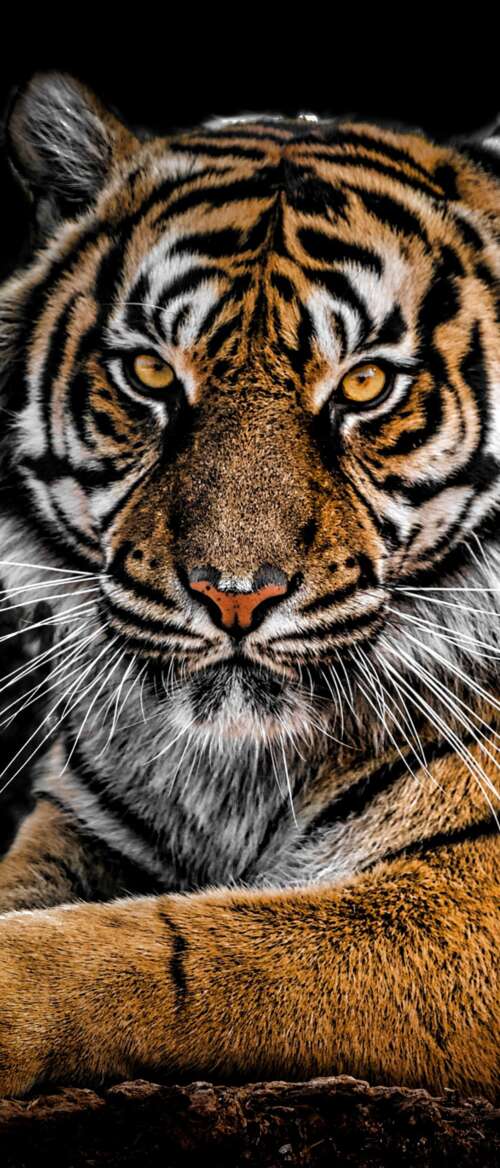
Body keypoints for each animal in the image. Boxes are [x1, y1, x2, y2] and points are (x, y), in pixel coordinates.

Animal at [0, 71, 498, 1101]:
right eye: (150, 372)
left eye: (366, 386)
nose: (235, 594)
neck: (235, 772)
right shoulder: (83, 825)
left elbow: (190, 950)